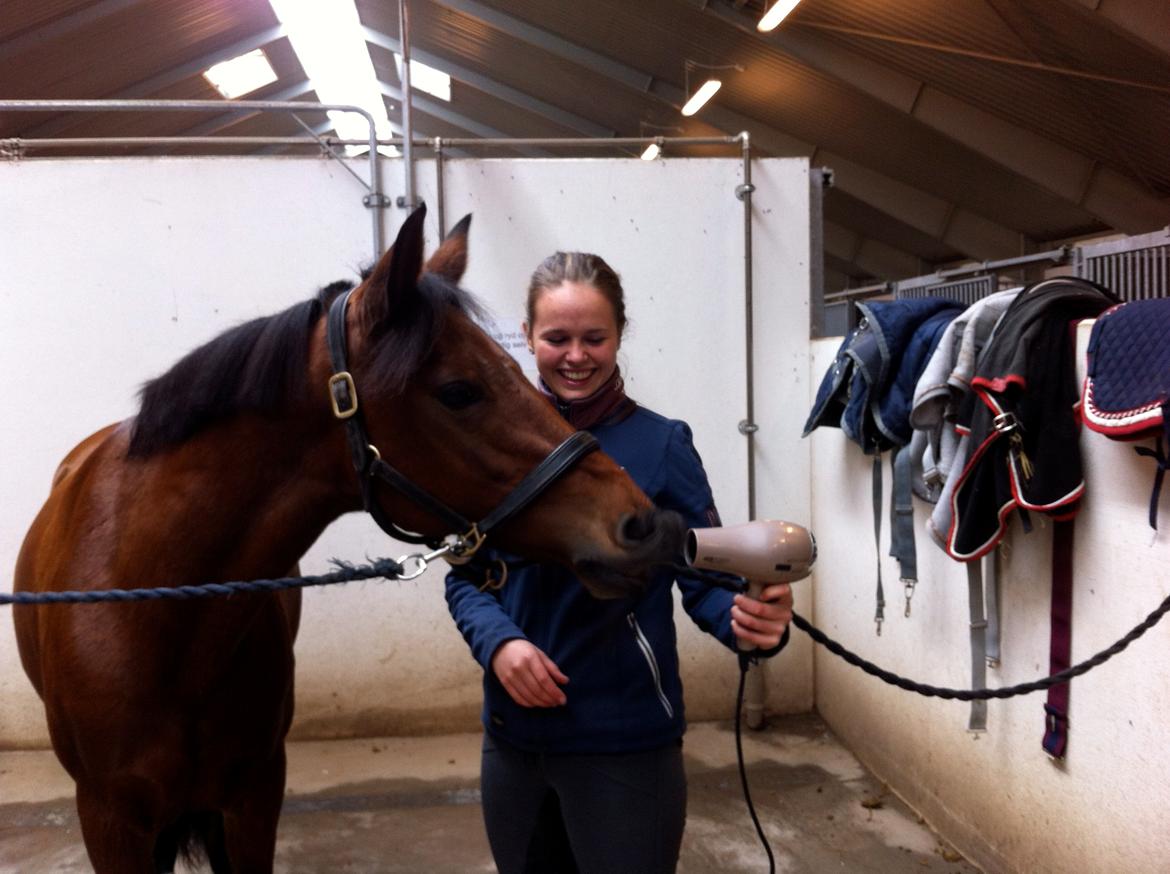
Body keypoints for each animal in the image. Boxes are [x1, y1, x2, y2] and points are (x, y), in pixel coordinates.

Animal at [12, 205, 683, 873]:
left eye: (519, 369)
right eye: (459, 391)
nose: (644, 525)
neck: (156, 613)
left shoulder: (253, 800)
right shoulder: (111, 821)